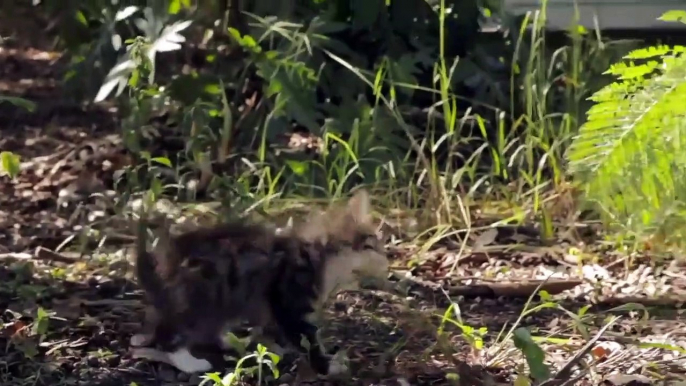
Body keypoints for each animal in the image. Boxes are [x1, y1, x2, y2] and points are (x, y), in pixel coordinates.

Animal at [129, 188, 388, 376]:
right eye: (372, 245)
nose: (387, 260)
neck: (318, 257)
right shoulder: (289, 302)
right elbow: (306, 339)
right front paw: (327, 366)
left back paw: (230, 340)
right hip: (199, 297)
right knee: (168, 335)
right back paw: (190, 362)